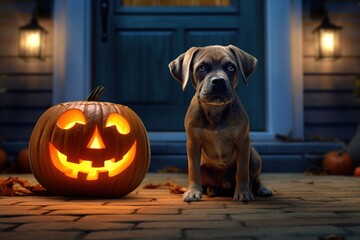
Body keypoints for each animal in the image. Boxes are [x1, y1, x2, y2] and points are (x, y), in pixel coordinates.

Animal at [169, 45, 272, 202]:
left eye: (230, 67)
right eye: (202, 67)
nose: (218, 81)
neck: (215, 110)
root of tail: (225, 184)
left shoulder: (243, 142)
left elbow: (242, 171)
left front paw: (243, 192)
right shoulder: (193, 143)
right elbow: (193, 170)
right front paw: (193, 191)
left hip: (254, 157)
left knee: (255, 178)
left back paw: (260, 189)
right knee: (206, 181)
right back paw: (212, 190)